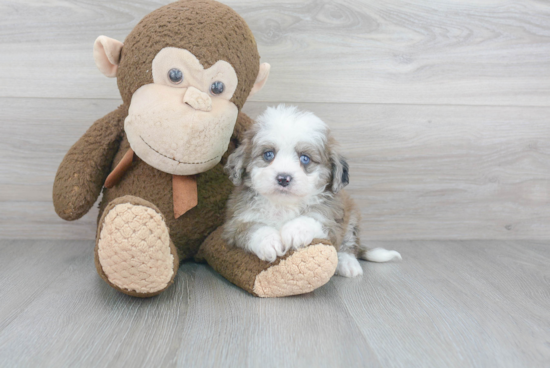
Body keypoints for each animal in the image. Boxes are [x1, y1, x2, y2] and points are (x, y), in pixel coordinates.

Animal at [223, 105, 402, 278]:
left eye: (305, 158)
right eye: (268, 154)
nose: (283, 178)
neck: (284, 204)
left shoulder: (333, 217)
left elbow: (314, 217)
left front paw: (295, 230)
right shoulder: (235, 222)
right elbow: (252, 228)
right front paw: (268, 241)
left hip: (352, 217)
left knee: (349, 244)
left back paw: (348, 263)